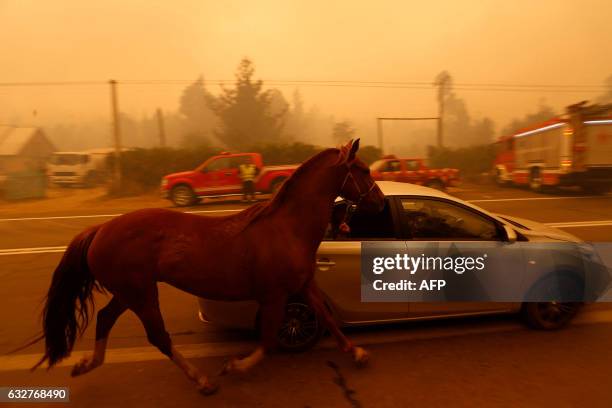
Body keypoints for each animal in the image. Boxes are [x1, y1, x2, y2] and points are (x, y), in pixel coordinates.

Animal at [33, 139, 382, 396]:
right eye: (363, 169)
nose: (378, 202)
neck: (287, 228)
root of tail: (100, 229)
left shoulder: (303, 283)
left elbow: (327, 318)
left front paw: (358, 353)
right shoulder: (275, 294)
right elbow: (268, 340)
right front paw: (235, 366)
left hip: (128, 292)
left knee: (105, 319)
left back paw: (87, 363)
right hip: (141, 294)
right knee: (158, 337)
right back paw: (202, 380)